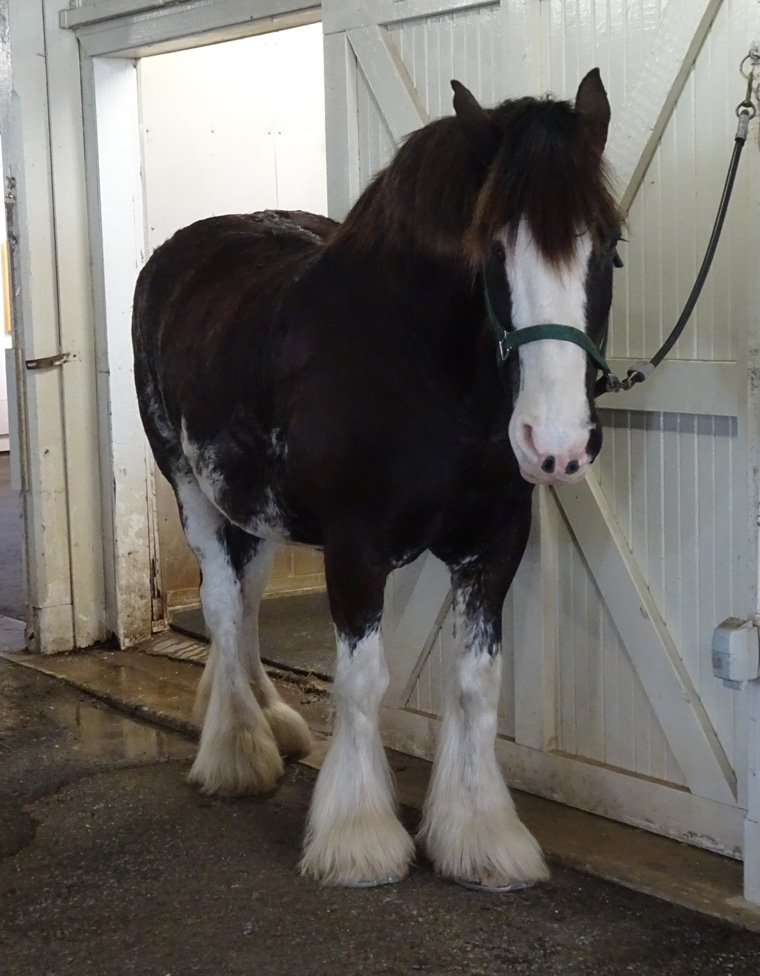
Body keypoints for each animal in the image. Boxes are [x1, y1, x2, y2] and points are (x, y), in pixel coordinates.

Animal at [132, 70, 616, 892]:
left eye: (609, 246)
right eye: (493, 249)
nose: (556, 445)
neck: (417, 367)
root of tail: (178, 254)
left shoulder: (494, 547)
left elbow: (476, 684)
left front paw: (480, 835)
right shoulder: (354, 550)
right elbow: (361, 683)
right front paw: (357, 837)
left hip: (258, 507)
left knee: (249, 600)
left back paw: (272, 720)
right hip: (189, 486)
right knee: (223, 607)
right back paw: (238, 750)